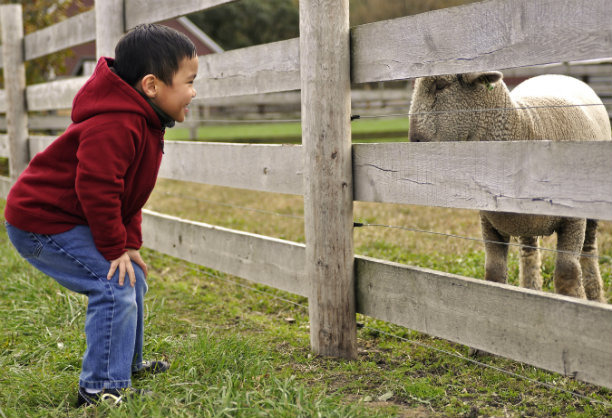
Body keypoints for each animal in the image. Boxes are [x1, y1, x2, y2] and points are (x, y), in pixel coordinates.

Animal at [408, 70, 608, 302]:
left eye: (441, 85)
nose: (414, 141)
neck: (525, 126)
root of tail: (555, 74)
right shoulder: (489, 222)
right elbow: (494, 274)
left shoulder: (573, 220)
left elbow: (567, 275)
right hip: (526, 222)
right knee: (529, 253)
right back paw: (531, 289)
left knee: (589, 249)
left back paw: (596, 298)